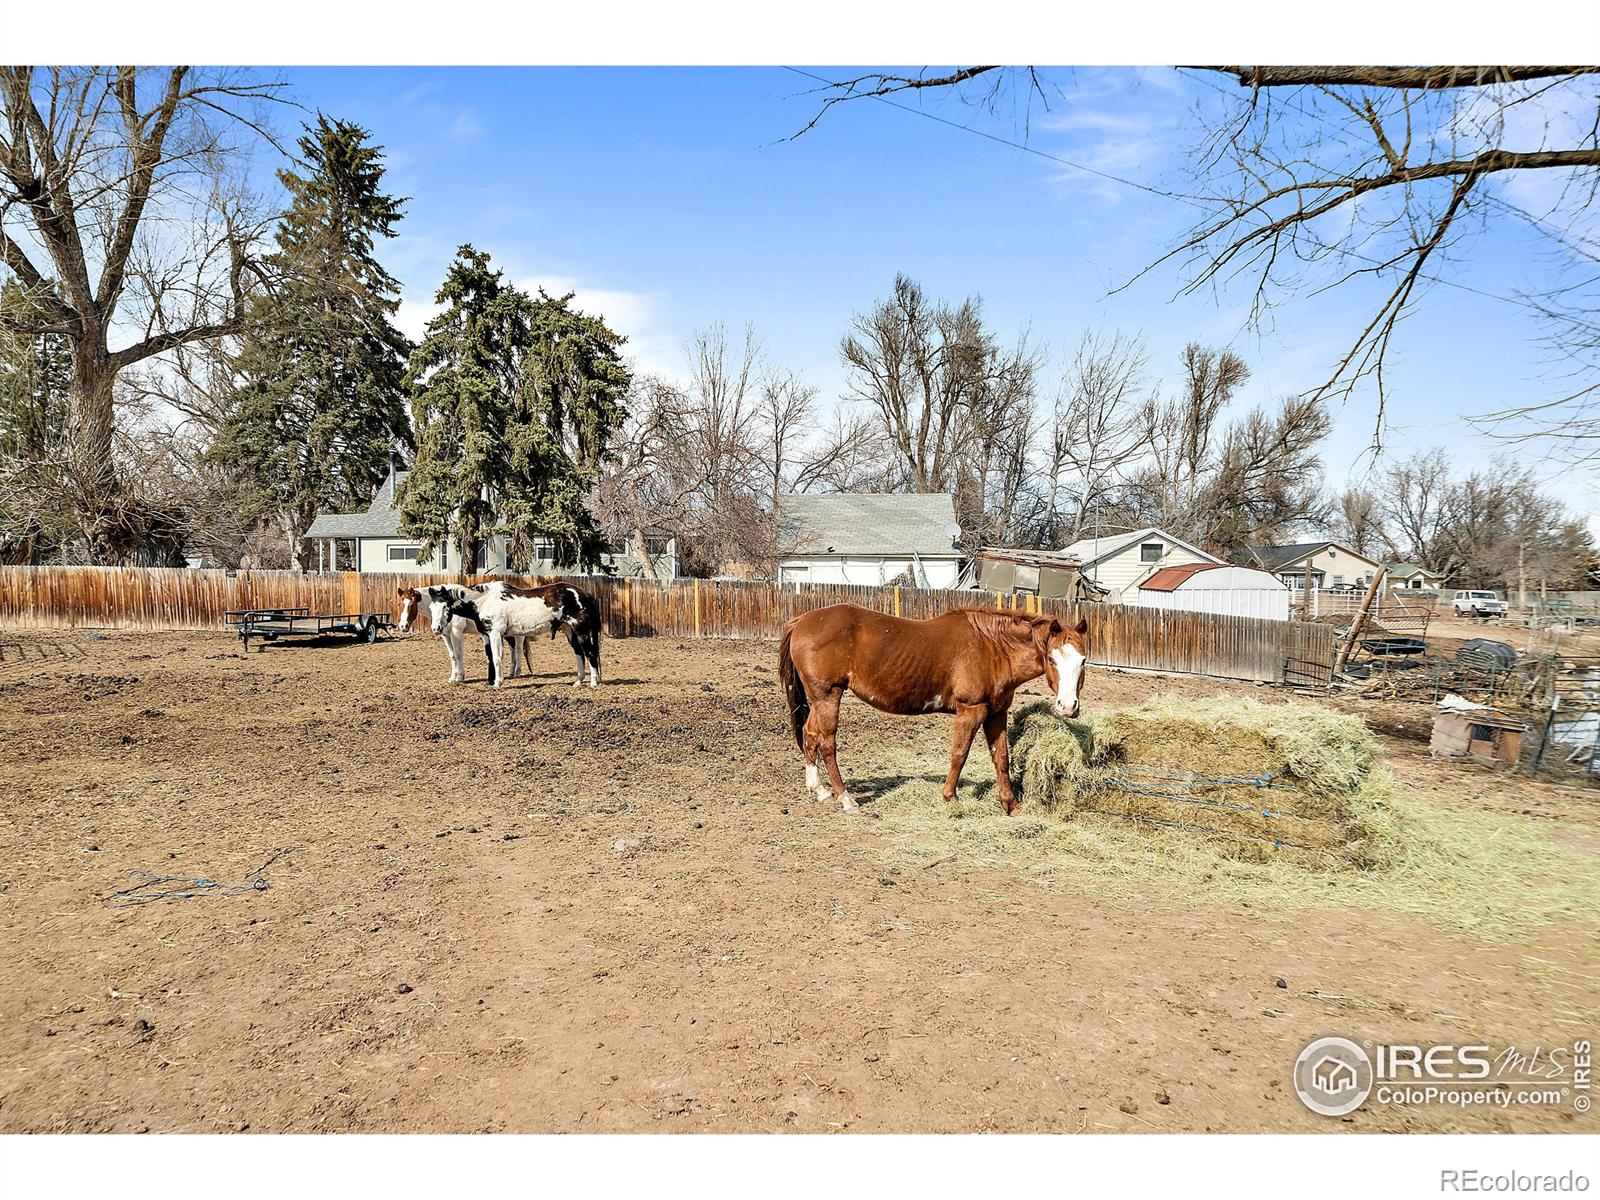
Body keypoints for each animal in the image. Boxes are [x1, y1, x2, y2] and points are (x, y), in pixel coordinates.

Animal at [428, 579, 601, 691]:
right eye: (431, 607)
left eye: (445, 607)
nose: (436, 628)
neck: (484, 600)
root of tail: (585, 594)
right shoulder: (486, 634)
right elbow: (490, 657)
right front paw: (491, 681)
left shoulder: (495, 633)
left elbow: (497, 659)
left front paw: (497, 683)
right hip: (569, 631)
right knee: (579, 654)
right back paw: (578, 681)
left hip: (581, 630)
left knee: (590, 653)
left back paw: (593, 682)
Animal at [774, 611, 1088, 819]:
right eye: (1052, 659)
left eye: (1083, 660)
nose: (1068, 706)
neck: (993, 648)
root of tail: (802, 620)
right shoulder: (971, 710)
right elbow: (959, 754)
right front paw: (950, 797)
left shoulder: (997, 713)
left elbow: (1001, 759)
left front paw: (1010, 806)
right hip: (828, 696)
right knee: (827, 743)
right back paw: (845, 798)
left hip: (819, 700)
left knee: (810, 734)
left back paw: (818, 789)